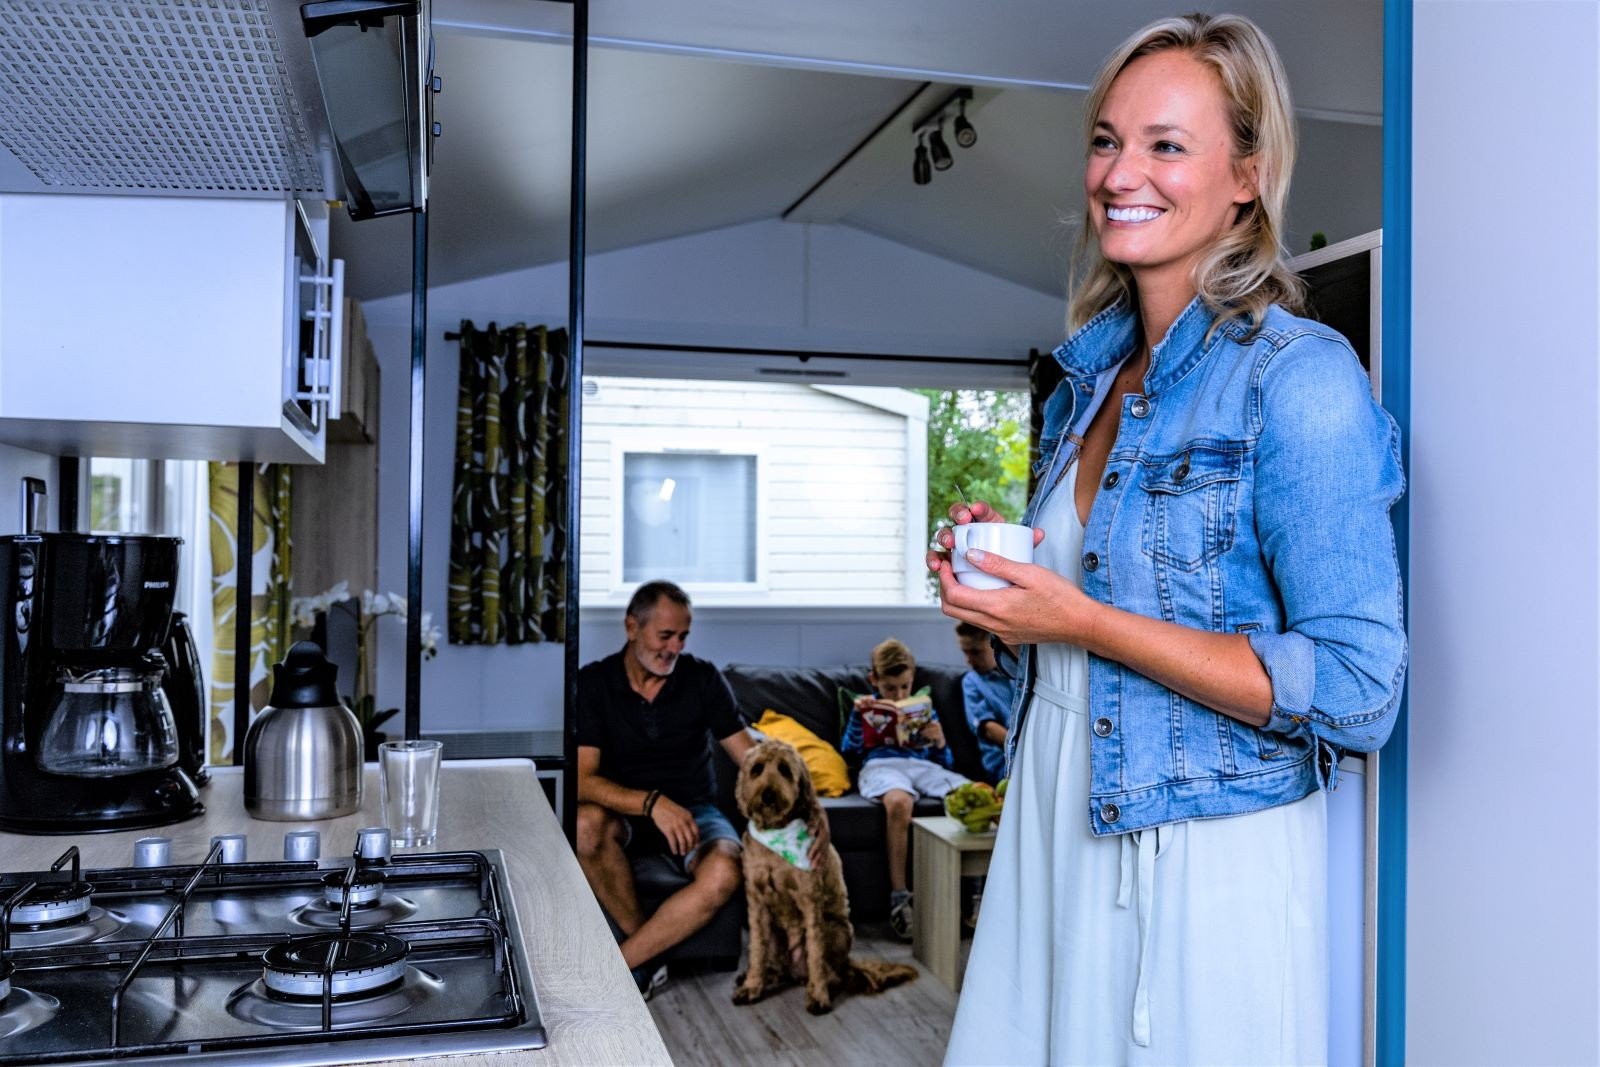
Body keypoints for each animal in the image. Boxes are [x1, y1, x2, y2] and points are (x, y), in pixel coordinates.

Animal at [732, 739, 921, 1017]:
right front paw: (752, 985)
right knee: (776, 964)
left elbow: (816, 956)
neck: (776, 840)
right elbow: (757, 949)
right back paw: (762, 976)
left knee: (830, 972)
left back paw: (819, 984)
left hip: (835, 929)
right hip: (777, 931)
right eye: (757, 769)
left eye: (784, 770)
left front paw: (819, 996)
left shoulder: (810, 901)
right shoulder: (756, 904)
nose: (767, 795)